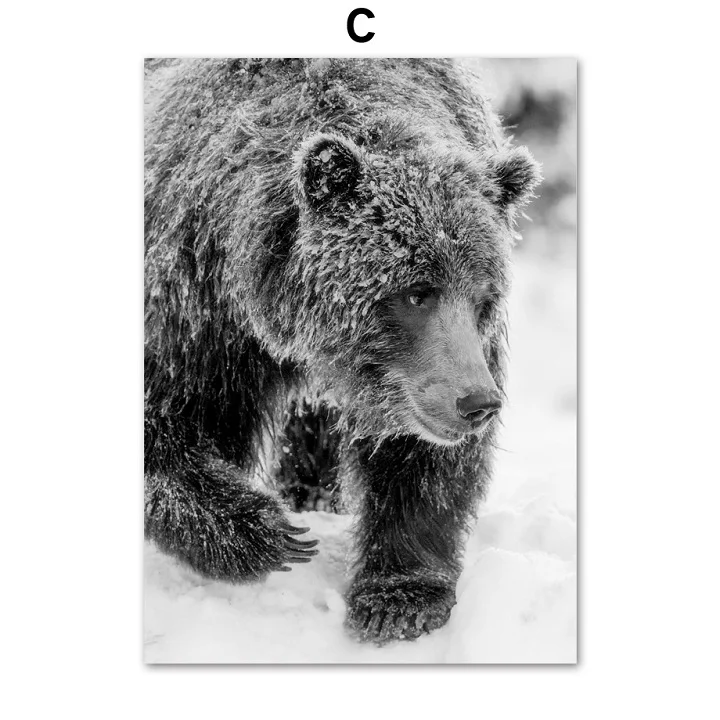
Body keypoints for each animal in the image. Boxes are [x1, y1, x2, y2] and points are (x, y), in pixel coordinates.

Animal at [144, 58, 541, 644]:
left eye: (484, 296)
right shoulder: (196, 304)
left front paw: (397, 598)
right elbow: (166, 420)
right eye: (416, 292)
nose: (477, 404)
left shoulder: (425, 373)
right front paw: (270, 534)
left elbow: (421, 463)